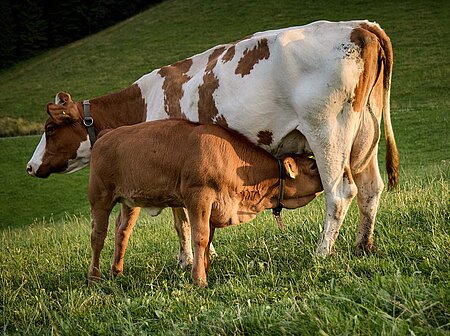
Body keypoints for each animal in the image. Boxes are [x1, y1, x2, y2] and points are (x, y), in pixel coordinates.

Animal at [27, 20, 400, 262]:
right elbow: (188, 218)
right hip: (364, 137)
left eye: (50, 128)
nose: (30, 166)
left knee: (340, 193)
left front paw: (189, 260)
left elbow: (180, 219)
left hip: (327, 133)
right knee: (370, 189)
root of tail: (357, 26)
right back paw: (363, 246)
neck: (144, 102)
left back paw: (322, 253)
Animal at [86, 119, 322, 286]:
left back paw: (117, 271)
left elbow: (208, 239)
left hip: (130, 201)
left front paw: (205, 269)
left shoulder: (214, 206)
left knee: (122, 231)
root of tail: (108, 133)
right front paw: (199, 279)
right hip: (100, 195)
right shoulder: (199, 197)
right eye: (312, 167)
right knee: (98, 236)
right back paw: (94, 277)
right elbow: (200, 238)